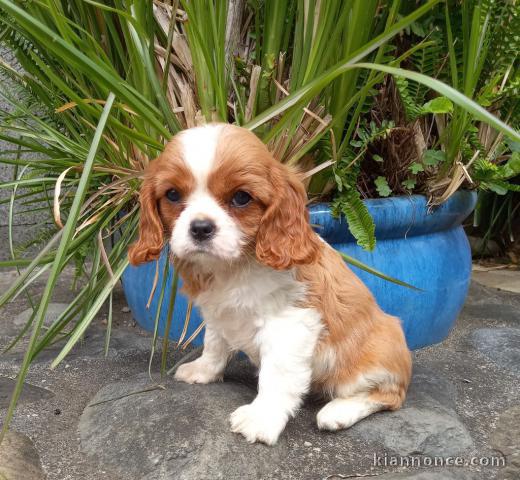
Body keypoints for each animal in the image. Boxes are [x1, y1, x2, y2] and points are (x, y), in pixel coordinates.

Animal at [129, 124, 410, 446]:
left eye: (241, 198)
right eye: (173, 195)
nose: (200, 228)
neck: (234, 266)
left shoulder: (290, 324)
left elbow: (276, 376)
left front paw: (261, 418)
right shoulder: (218, 311)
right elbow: (214, 342)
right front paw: (205, 370)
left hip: (370, 363)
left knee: (389, 395)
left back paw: (337, 412)